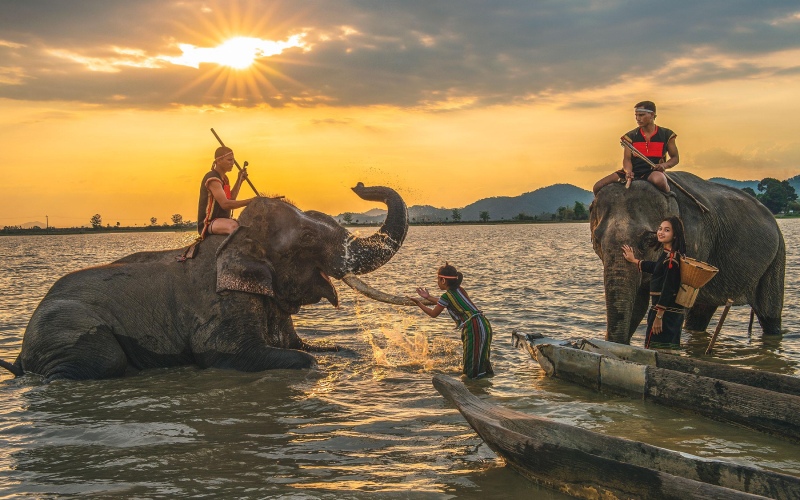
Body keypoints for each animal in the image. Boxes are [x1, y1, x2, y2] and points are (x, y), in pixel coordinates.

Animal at [0, 182, 410, 380]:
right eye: (308, 239)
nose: (358, 184)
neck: (238, 237)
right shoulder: (220, 303)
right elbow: (225, 352)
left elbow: (313, 347)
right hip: (66, 331)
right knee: (98, 363)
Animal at [592, 172, 784, 344]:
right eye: (597, 239)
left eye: (649, 239)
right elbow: (638, 303)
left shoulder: (693, 239)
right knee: (700, 314)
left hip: (776, 259)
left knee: (769, 314)